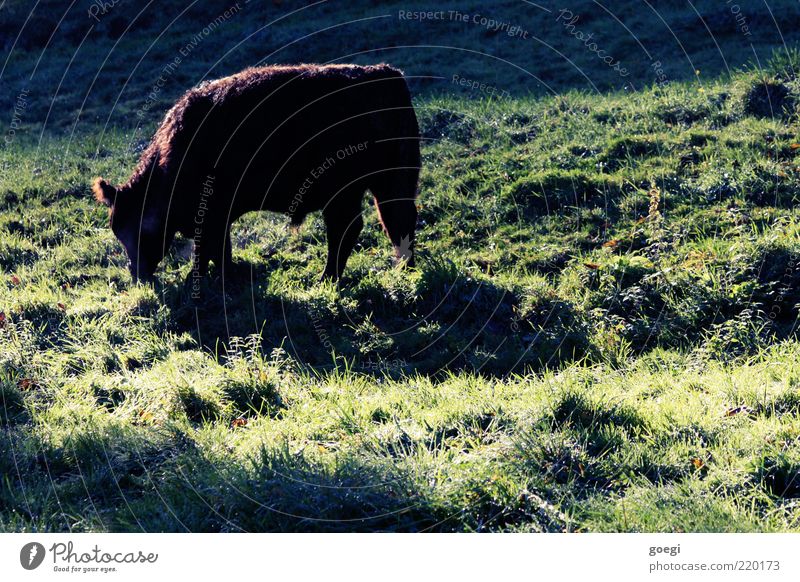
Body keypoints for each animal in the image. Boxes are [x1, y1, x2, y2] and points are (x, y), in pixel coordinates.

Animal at [91, 63, 422, 282]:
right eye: (116, 229)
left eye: (137, 227)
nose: (137, 274)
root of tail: (385, 73)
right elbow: (214, 248)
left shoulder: (213, 213)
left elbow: (211, 248)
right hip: (387, 184)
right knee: (394, 221)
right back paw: (401, 270)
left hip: (352, 191)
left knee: (354, 227)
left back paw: (329, 278)